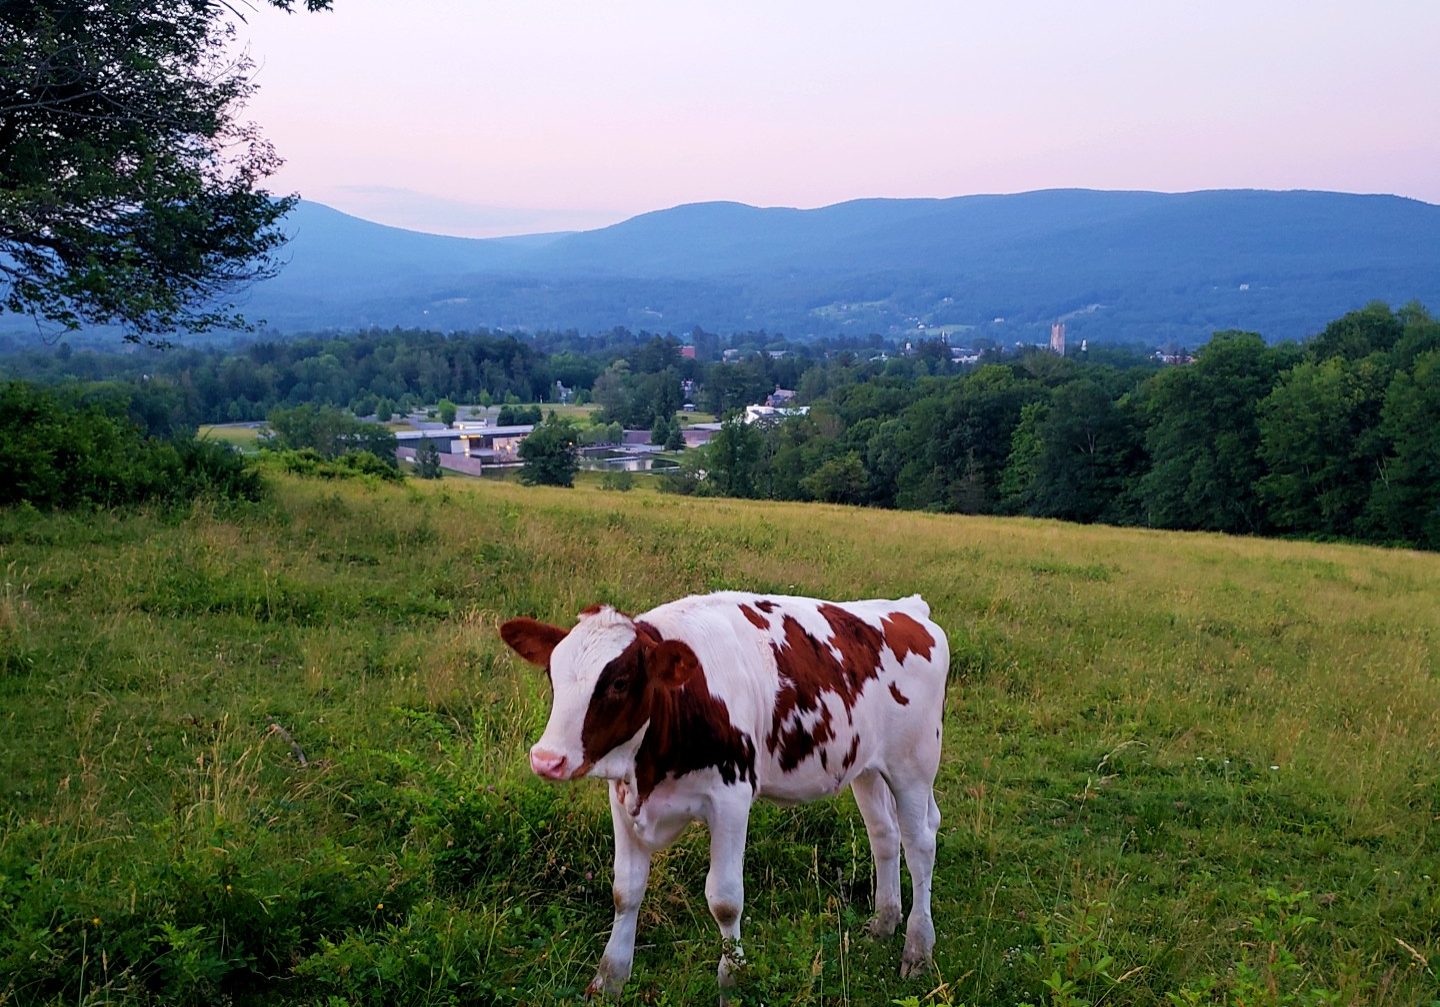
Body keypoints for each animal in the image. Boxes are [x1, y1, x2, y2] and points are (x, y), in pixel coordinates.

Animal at [499, 591, 949, 1001]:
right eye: (552, 674)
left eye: (619, 683)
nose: (547, 759)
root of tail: (907, 608)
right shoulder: (623, 797)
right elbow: (625, 890)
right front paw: (610, 978)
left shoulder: (732, 799)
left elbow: (725, 899)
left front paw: (732, 979)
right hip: (867, 767)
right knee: (884, 835)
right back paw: (883, 924)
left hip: (913, 765)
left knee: (920, 845)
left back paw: (918, 950)